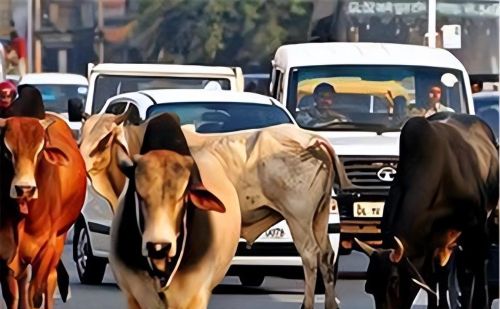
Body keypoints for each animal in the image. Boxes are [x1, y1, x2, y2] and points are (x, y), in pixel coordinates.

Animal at [0, 113, 86, 308]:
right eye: (7, 152)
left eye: (40, 151)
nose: (25, 189)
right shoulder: (5, 251)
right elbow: (13, 296)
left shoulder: (47, 248)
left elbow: (36, 295)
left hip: (59, 241)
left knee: (50, 280)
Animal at [358, 112, 498, 308]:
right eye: (369, 287)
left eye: (394, 281)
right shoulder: (430, 243)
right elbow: (433, 277)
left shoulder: (476, 227)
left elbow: (474, 267)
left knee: (474, 267)